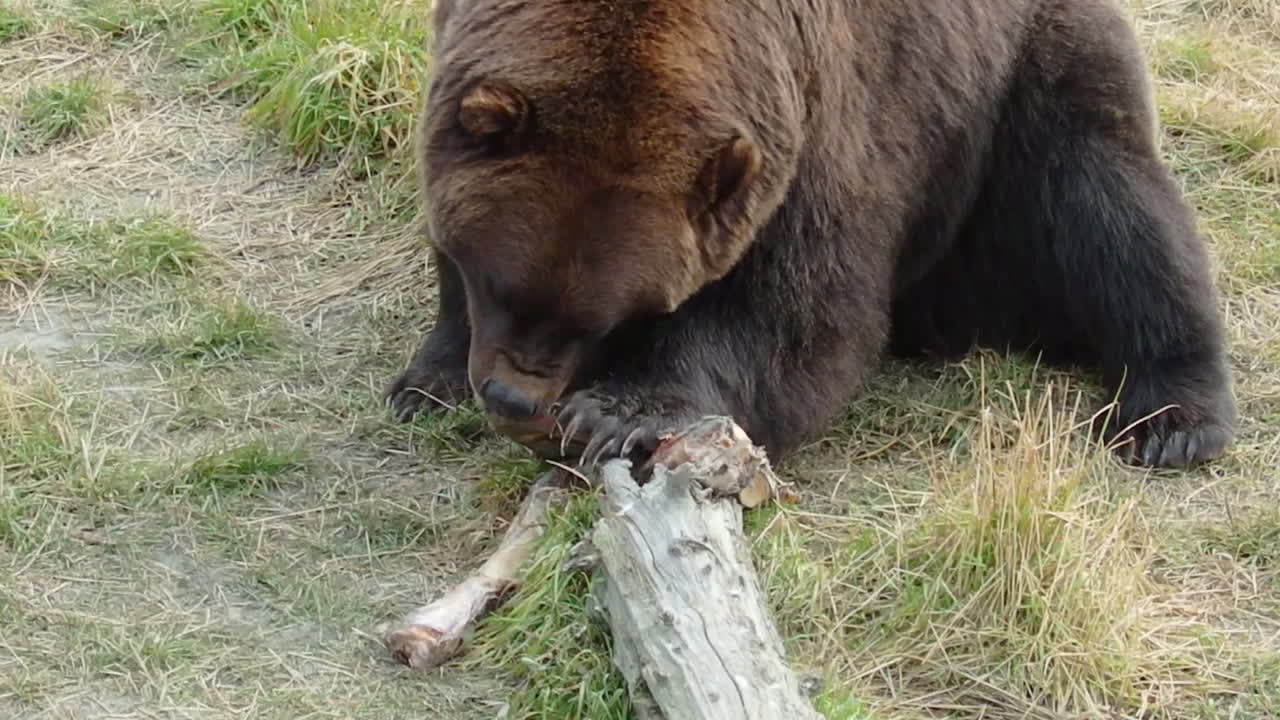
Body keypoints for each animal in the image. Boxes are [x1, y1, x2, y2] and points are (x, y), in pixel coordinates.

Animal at [385, 0, 1236, 472]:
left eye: (615, 315)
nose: (514, 397)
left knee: (1113, 212)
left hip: (1014, 99)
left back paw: (1172, 418)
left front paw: (621, 412)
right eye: (498, 282)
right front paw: (427, 380)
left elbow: (797, 314)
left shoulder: (821, 120)